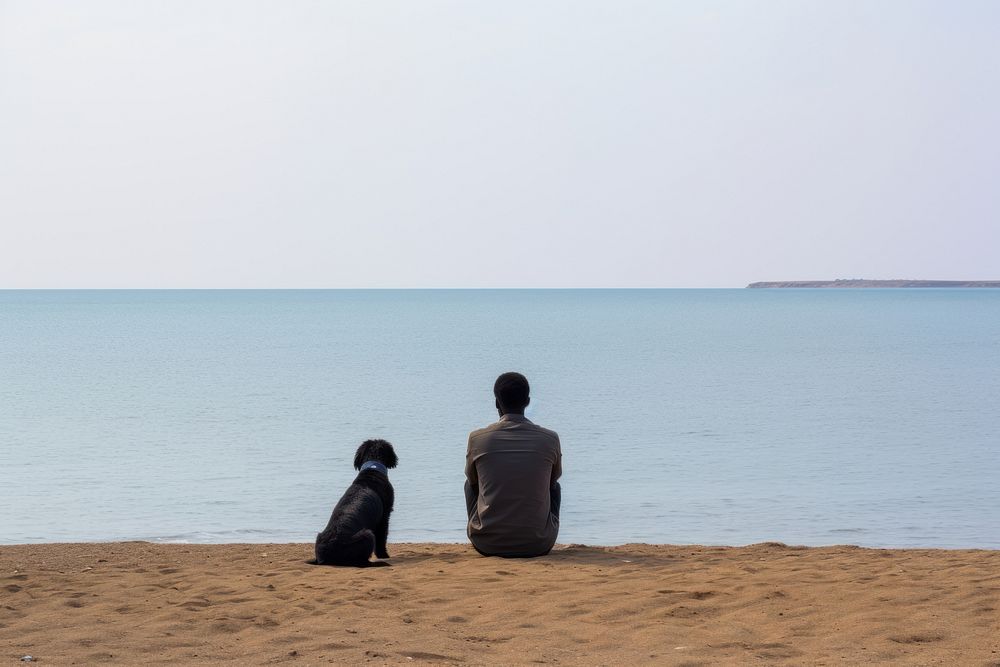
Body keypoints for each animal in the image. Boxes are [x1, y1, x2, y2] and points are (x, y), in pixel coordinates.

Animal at [312, 438, 398, 568]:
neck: (372, 469)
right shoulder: (384, 517)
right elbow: (382, 538)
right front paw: (383, 555)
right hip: (367, 535)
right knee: (362, 562)